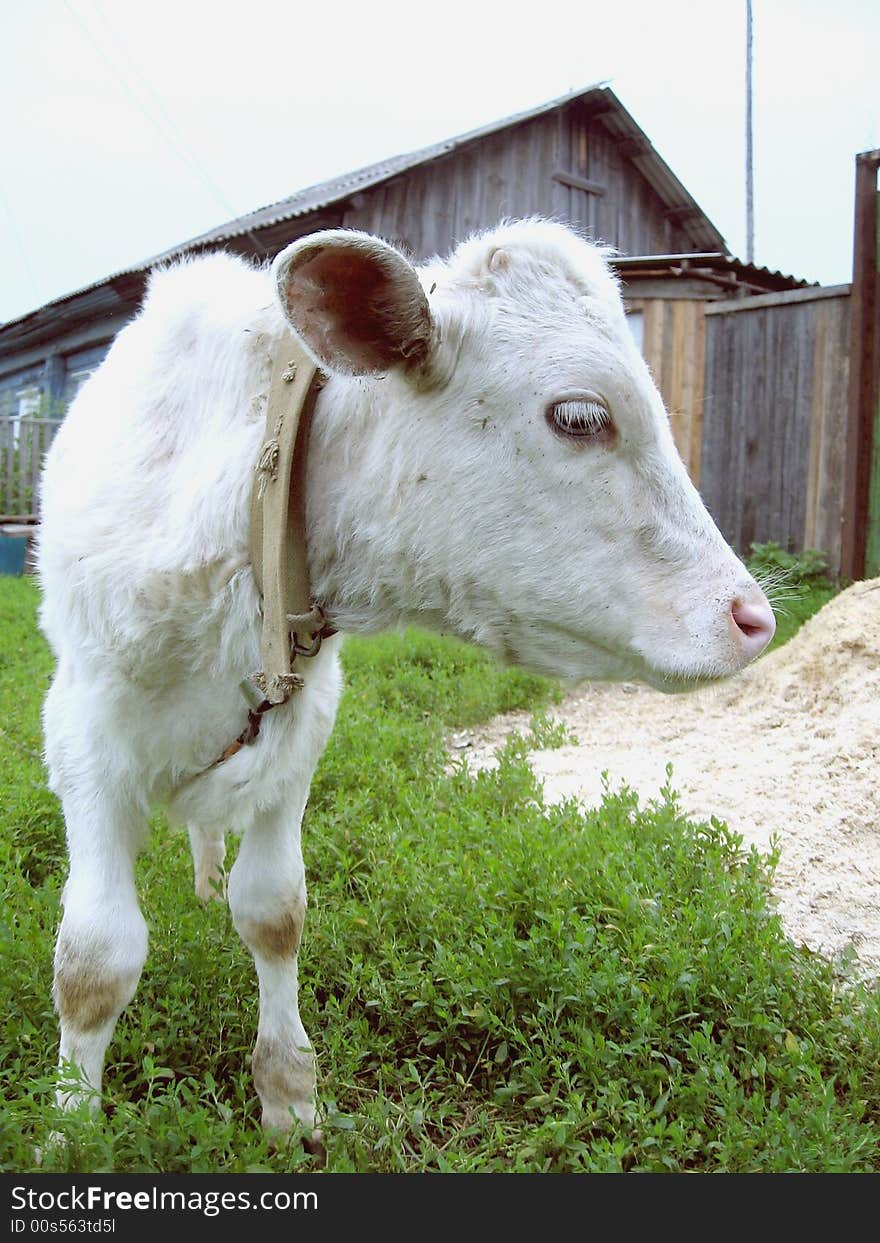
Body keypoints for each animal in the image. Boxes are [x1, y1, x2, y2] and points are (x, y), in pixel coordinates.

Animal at [37, 221, 775, 1143]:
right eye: (580, 416)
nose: (753, 617)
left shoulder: (299, 731)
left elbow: (274, 911)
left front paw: (289, 1096)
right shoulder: (84, 737)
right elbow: (96, 958)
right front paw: (70, 1127)